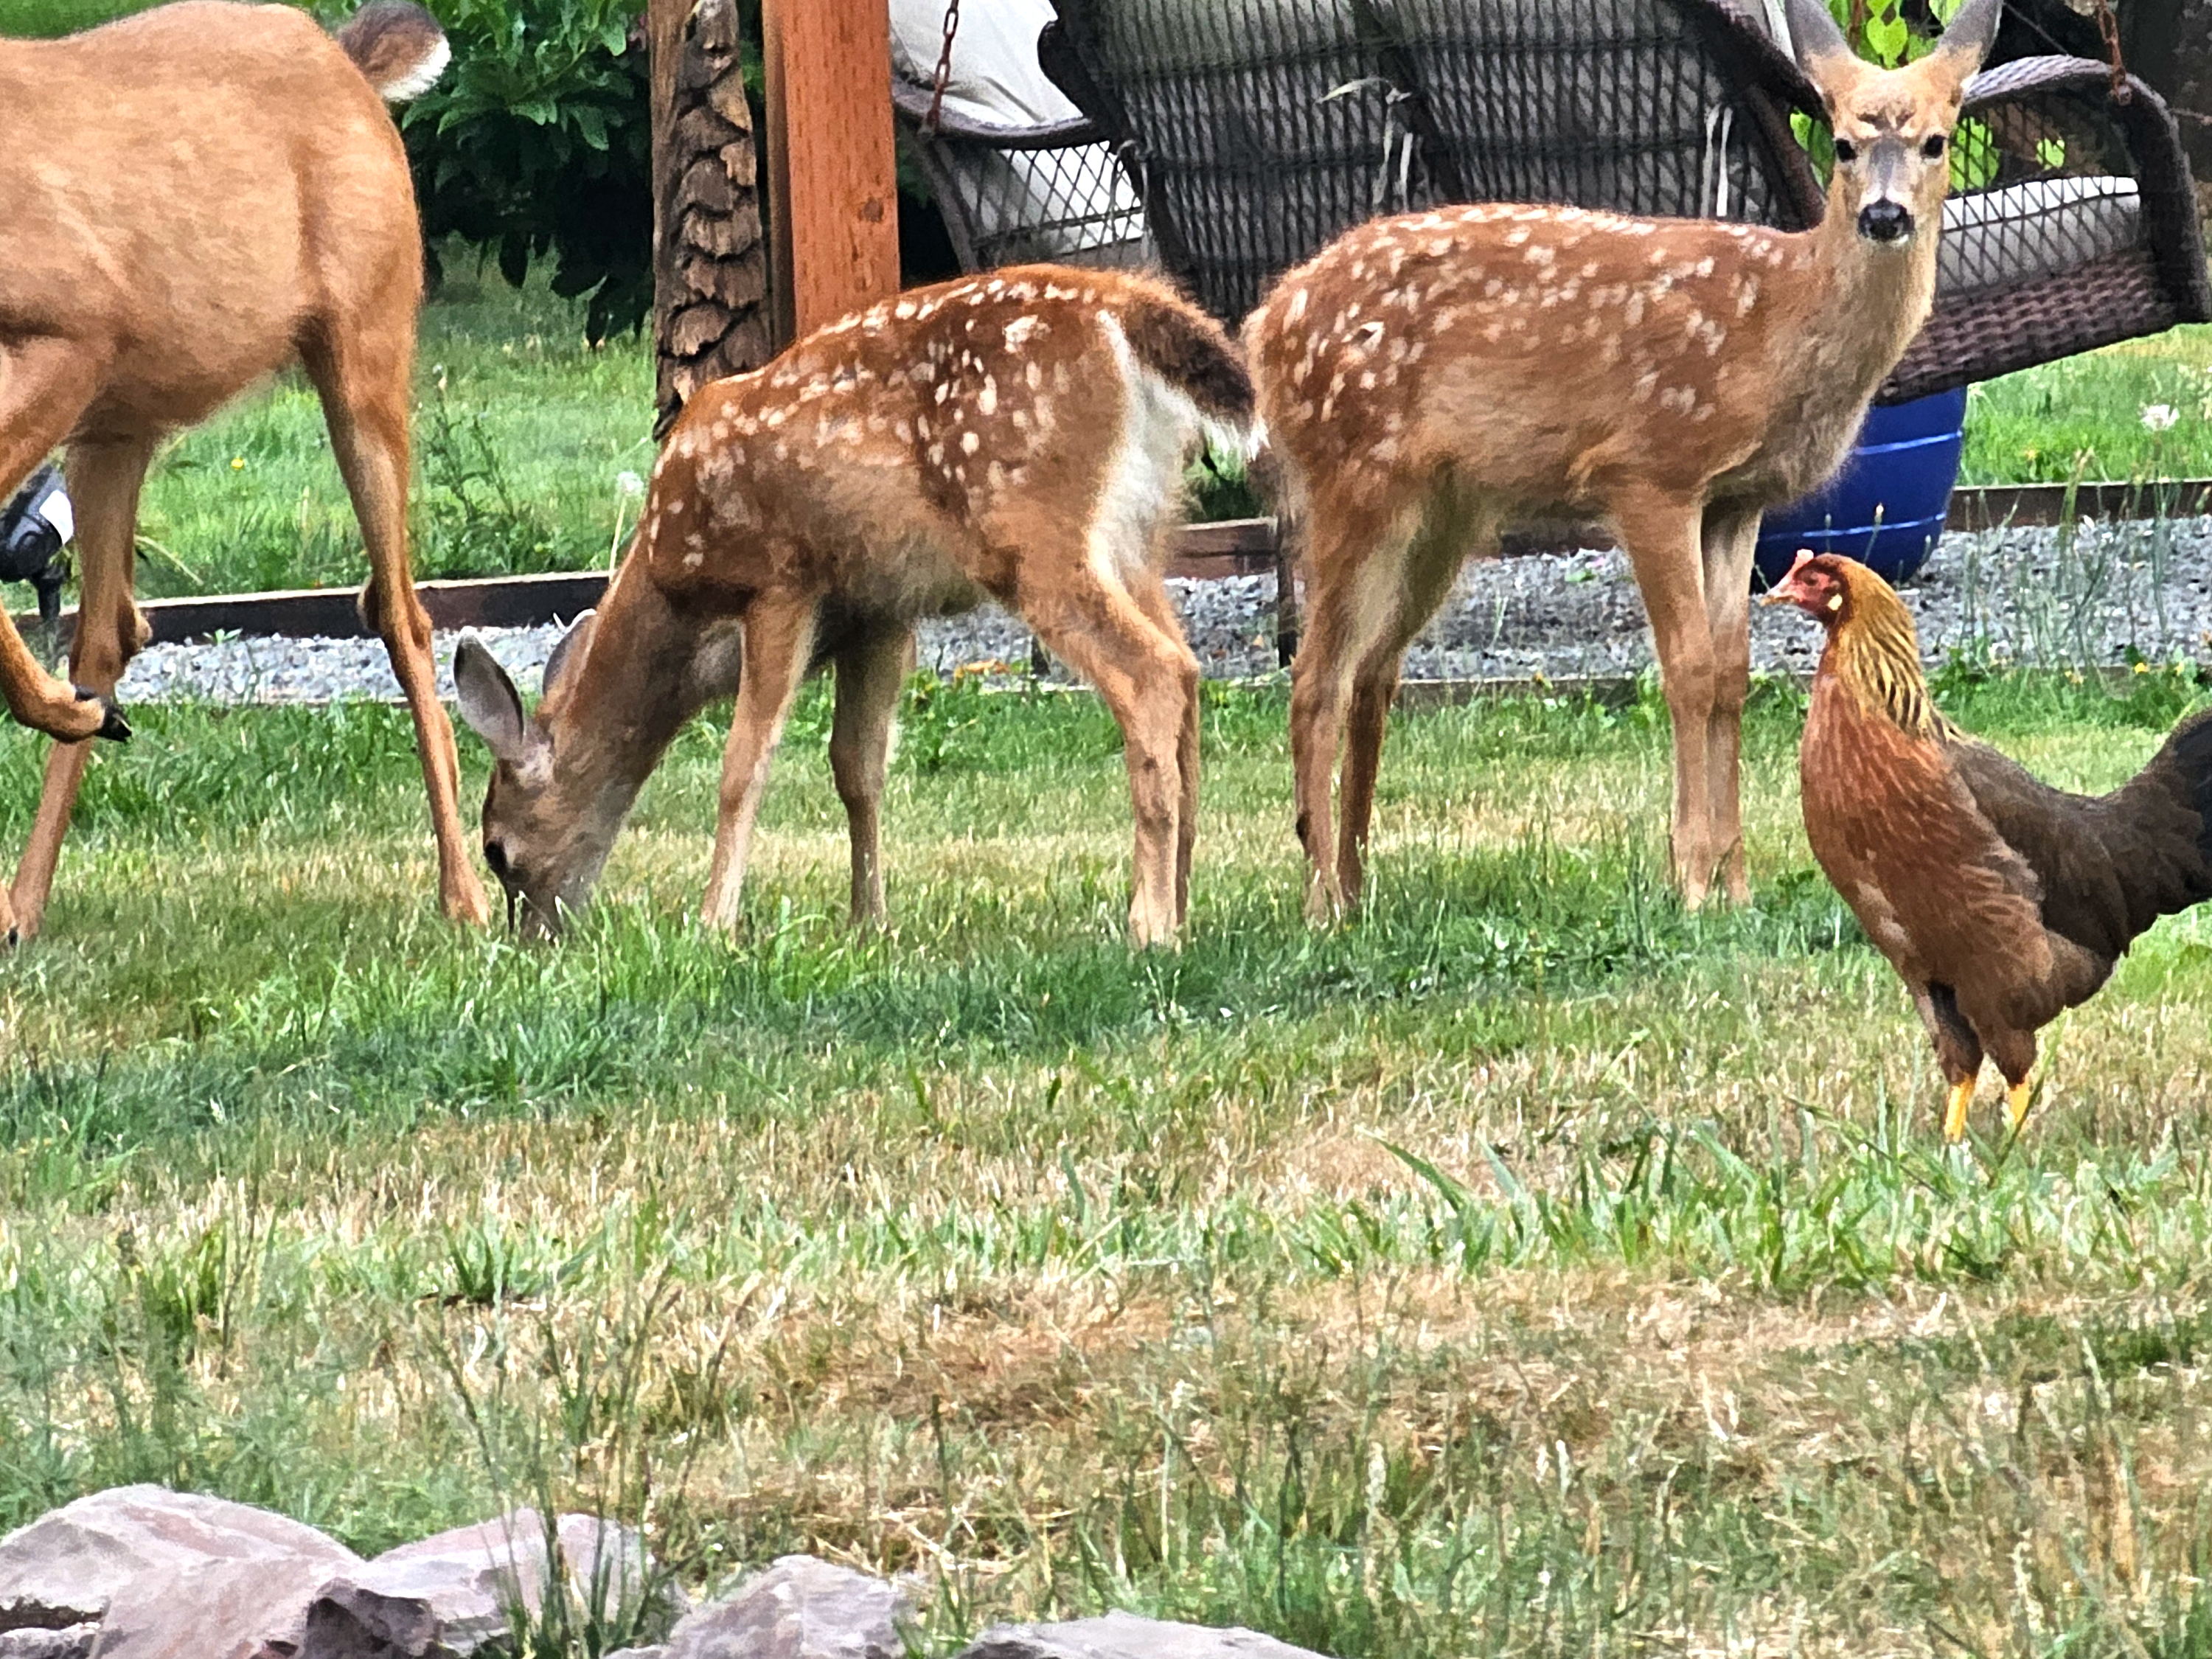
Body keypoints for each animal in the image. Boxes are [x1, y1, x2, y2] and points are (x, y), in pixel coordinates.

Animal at [0, 0, 488, 946]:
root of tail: (344, 60)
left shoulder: (79, 323)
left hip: (366, 353)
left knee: (401, 614)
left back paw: (466, 895)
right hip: (116, 428)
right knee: (113, 629)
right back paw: (24, 896)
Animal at [451, 266, 1252, 947]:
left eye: (496, 849)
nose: (533, 940)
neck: (673, 587)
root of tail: (1125, 307)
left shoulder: (780, 580)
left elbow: (745, 764)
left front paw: (714, 924)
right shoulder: (879, 611)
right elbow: (857, 768)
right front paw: (868, 922)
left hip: (1031, 528)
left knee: (1150, 673)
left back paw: (1148, 923)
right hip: (1140, 535)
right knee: (1185, 669)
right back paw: (1182, 907)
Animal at [1244, 0, 2002, 921]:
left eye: (1935, 141)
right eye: (1845, 143)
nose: (1885, 217)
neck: (1776, 324)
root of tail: (1265, 323)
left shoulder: (1738, 501)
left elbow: (1732, 674)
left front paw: (1736, 885)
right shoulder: (1651, 468)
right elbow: (1687, 669)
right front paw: (1691, 882)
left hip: (1442, 512)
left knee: (1370, 673)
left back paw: (1358, 889)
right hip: (1350, 474)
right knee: (1314, 677)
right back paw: (1321, 904)